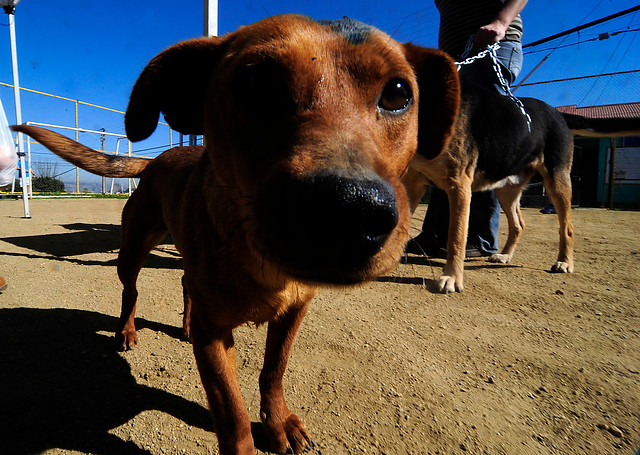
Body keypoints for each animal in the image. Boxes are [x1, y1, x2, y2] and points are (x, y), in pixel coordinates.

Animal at [13, 15, 460, 455]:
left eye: (398, 93)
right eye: (257, 82)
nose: (350, 211)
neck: (263, 266)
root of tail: (157, 160)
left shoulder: (293, 313)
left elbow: (273, 371)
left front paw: (278, 423)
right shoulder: (214, 337)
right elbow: (231, 415)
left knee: (185, 283)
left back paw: (184, 323)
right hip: (133, 247)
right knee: (131, 291)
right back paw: (126, 330)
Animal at [404, 76, 640, 294]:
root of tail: (558, 114)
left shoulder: (458, 186)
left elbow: (456, 237)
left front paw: (452, 278)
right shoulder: (413, 183)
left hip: (556, 182)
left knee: (567, 227)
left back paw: (565, 262)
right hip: (506, 188)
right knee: (518, 224)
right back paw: (505, 255)